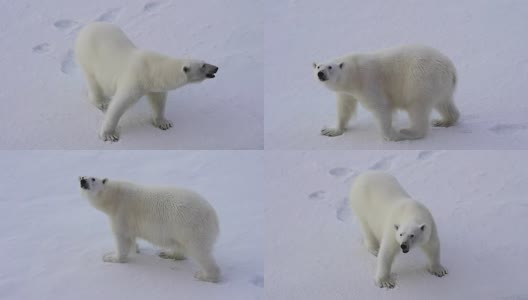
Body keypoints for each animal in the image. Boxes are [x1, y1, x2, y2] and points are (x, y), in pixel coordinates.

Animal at [74, 22, 219, 142]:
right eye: (203, 66)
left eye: (204, 61)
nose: (216, 68)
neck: (152, 69)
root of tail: (87, 27)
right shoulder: (135, 79)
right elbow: (119, 104)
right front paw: (109, 135)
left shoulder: (154, 85)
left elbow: (158, 101)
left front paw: (163, 123)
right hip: (88, 58)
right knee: (93, 81)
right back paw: (101, 102)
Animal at [78, 175, 221, 282]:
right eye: (83, 176)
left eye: (93, 178)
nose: (82, 180)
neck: (114, 196)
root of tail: (214, 218)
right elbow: (131, 238)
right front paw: (136, 249)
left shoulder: (122, 212)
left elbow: (122, 238)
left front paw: (110, 257)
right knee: (180, 245)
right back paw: (167, 254)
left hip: (192, 228)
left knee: (200, 252)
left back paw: (204, 276)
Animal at [314, 45, 458, 141]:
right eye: (318, 66)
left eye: (330, 67)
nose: (320, 73)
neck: (353, 72)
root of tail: (450, 69)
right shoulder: (346, 92)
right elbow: (345, 108)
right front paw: (330, 130)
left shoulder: (368, 82)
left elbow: (381, 107)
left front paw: (392, 136)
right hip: (440, 86)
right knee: (444, 103)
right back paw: (443, 121)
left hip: (420, 81)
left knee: (417, 107)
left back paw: (408, 132)